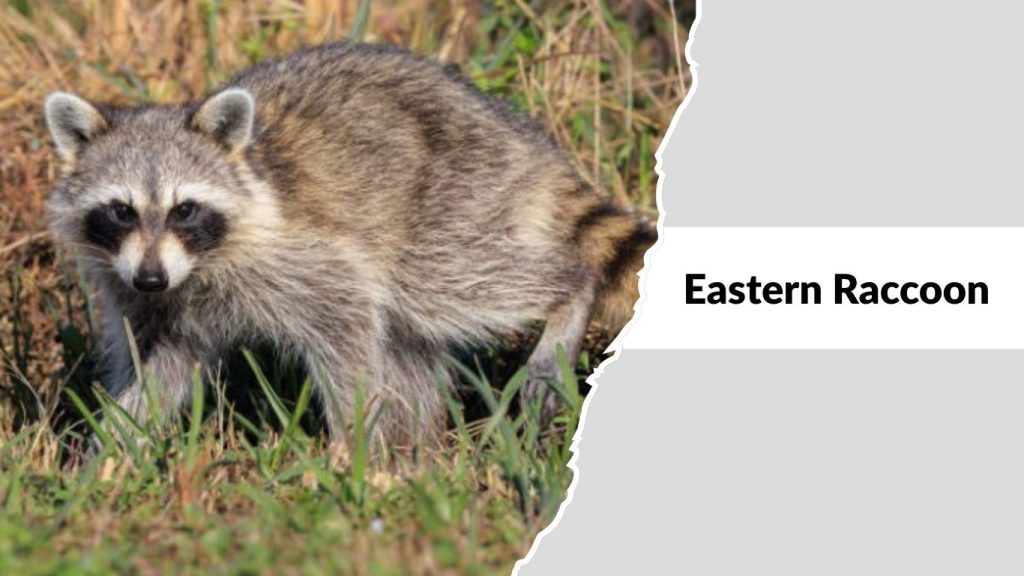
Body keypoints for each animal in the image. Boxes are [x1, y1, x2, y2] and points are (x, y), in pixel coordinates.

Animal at [43, 43, 656, 448]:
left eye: (184, 210)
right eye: (121, 211)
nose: (150, 277)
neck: (197, 265)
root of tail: (528, 140)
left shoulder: (300, 255)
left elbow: (345, 326)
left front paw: (351, 446)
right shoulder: (143, 292)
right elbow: (159, 366)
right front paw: (111, 453)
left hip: (452, 197)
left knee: (450, 284)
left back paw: (567, 290)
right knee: (412, 340)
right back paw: (415, 451)